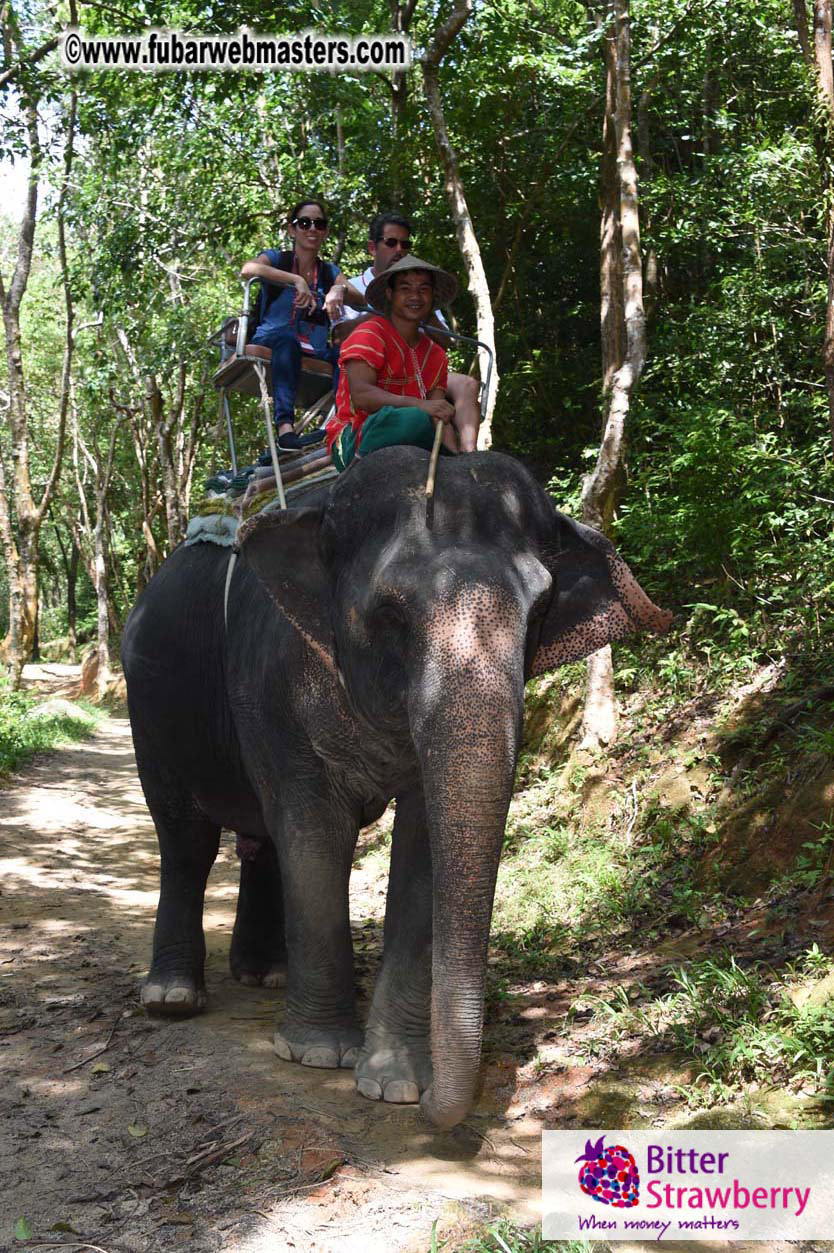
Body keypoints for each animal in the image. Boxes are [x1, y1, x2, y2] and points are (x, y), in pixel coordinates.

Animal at [122, 446, 671, 1129]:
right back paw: (172, 997)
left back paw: (265, 975)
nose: (442, 1106)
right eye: (391, 614)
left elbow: (423, 844)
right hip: (150, 702)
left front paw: (396, 1083)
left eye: (539, 614)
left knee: (260, 841)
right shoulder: (272, 682)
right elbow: (314, 835)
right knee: (187, 839)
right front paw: (318, 1054)